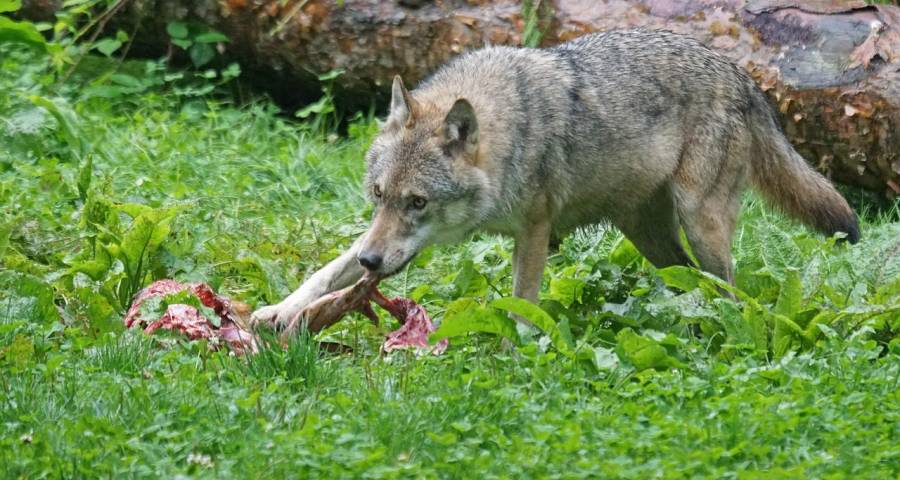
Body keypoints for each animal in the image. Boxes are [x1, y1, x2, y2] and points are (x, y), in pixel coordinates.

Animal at [250, 29, 860, 330]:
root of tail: (741, 74)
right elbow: (326, 271)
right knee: (688, 278)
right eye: (380, 196)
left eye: (418, 202)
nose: (374, 263)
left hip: (699, 222)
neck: (507, 132)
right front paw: (279, 311)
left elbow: (523, 300)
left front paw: (518, 353)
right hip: (648, 233)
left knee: (729, 289)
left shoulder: (535, 231)